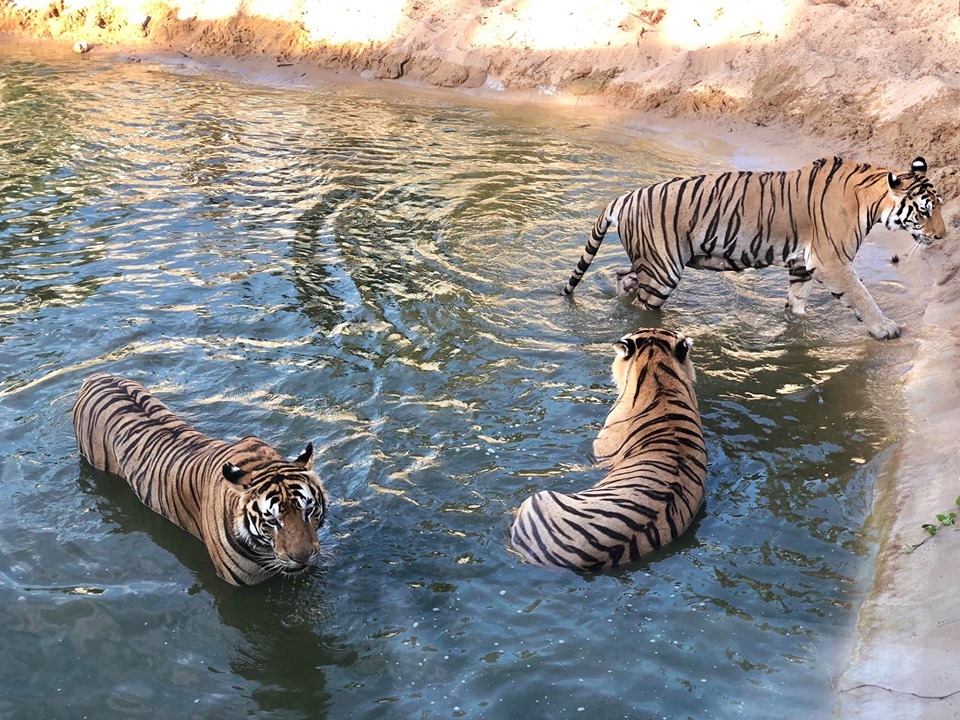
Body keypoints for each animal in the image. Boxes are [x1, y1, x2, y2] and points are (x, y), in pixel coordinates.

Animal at [564, 155, 944, 340]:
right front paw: (885, 329)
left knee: (622, 276)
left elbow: (798, 300)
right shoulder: (832, 261)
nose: (942, 237)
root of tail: (626, 196)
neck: (871, 202)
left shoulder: (803, 263)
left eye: (939, 206)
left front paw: (796, 324)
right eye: (924, 211)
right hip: (662, 270)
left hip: (650, 262)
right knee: (641, 306)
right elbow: (862, 296)